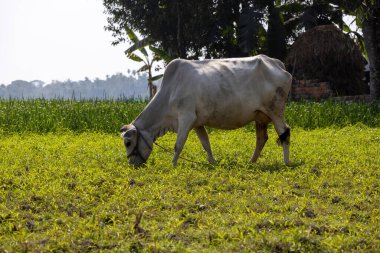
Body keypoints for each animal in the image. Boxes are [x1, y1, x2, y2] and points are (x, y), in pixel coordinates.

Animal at [120, 54, 292, 167]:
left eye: (128, 142)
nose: (131, 164)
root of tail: (276, 63)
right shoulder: (197, 123)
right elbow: (206, 143)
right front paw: (212, 162)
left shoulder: (186, 117)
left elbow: (178, 144)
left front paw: (172, 164)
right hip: (260, 116)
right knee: (261, 139)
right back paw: (251, 162)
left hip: (275, 111)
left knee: (284, 132)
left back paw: (286, 162)